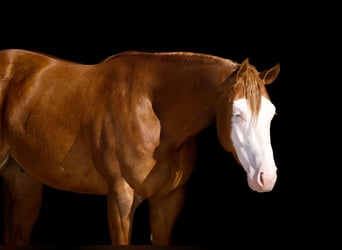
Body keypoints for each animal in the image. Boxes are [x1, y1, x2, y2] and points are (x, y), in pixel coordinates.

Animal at [0, 48, 280, 244]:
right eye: (238, 114)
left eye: (272, 114)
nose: (266, 177)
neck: (152, 112)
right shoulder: (120, 199)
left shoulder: (168, 201)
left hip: (24, 180)